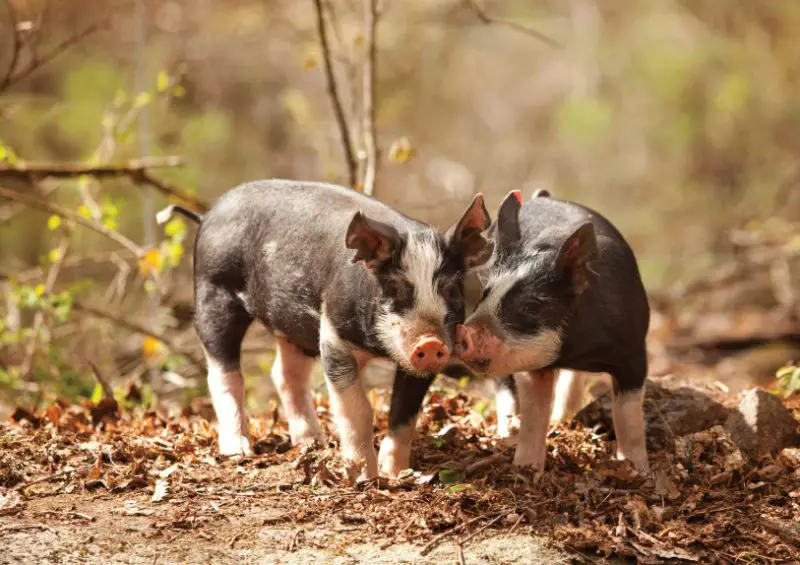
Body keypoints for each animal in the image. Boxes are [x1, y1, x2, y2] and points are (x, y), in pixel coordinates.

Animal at [157, 179, 493, 478]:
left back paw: (311, 442)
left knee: (284, 374)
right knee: (223, 372)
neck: (378, 348)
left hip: (292, 325)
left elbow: (404, 413)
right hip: (213, 292)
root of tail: (206, 215)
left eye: (450, 289)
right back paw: (239, 450)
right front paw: (364, 478)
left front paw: (397, 474)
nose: (429, 343)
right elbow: (358, 410)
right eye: (396, 287)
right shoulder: (333, 336)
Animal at [455, 189, 650, 473]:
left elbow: (628, 416)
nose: (463, 332)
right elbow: (535, 415)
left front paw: (637, 469)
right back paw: (509, 433)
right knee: (505, 387)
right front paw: (525, 469)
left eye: (532, 305)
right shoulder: (531, 366)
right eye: (486, 293)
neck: (575, 350)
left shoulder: (634, 351)